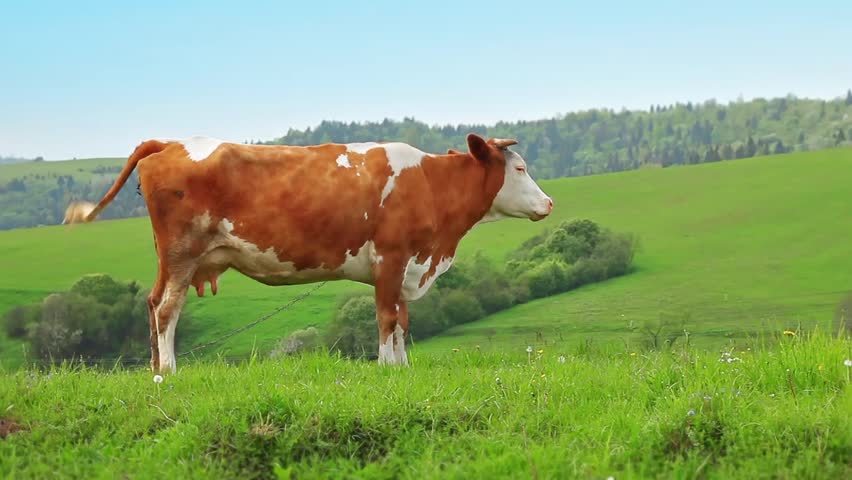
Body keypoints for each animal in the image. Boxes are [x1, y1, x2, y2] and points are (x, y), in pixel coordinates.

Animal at [66, 133, 553, 373]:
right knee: (168, 309)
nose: (549, 203)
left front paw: (403, 364)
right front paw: (386, 368)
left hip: (170, 259)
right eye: (521, 168)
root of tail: (171, 142)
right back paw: (169, 369)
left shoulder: (404, 267)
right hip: (183, 253)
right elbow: (387, 318)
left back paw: (155, 365)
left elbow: (401, 319)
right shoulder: (391, 259)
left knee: (152, 304)